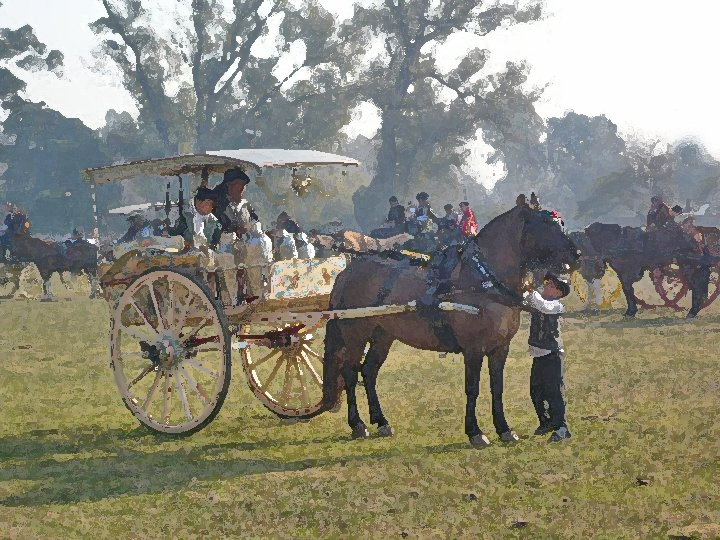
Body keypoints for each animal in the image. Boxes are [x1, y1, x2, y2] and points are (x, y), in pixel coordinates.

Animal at [316, 202, 584, 448]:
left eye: (560, 223)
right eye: (545, 223)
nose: (577, 254)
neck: (482, 279)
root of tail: (348, 271)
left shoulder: (500, 348)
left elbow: (497, 387)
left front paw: (504, 429)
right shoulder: (473, 349)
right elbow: (472, 388)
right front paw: (475, 432)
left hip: (384, 335)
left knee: (369, 372)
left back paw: (381, 422)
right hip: (355, 335)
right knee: (351, 374)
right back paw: (358, 424)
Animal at [584, 221, 716, 318]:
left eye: (589, 239)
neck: (618, 241)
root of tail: (696, 235)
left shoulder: (626, 273)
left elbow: (628, 291)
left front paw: (630, 312)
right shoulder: (623, 274)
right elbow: (628, 291)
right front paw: (631, 311)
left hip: (690, 267)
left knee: (697, 287)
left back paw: (693, 312)